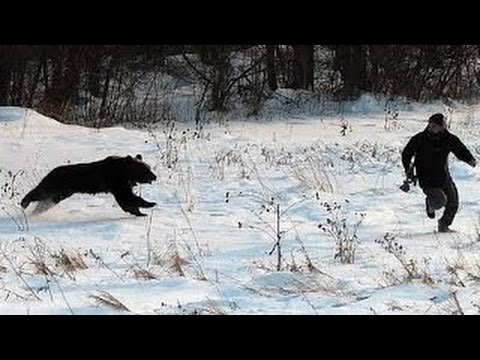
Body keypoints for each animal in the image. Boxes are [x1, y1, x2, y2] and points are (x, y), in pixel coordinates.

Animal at [21, 153, 157, 215]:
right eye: (146, 170)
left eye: (149, 167)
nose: (155, 176)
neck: (124, 172)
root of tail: (52, 171)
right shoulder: (116, 183)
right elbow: (128, 198)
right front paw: (149, 205)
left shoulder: (122, 184)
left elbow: (127, 199)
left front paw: (140, 211)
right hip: (55, 185)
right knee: (40, 192)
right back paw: (24, 203)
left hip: (62, 192)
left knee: (48, 200)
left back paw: (37, 211)